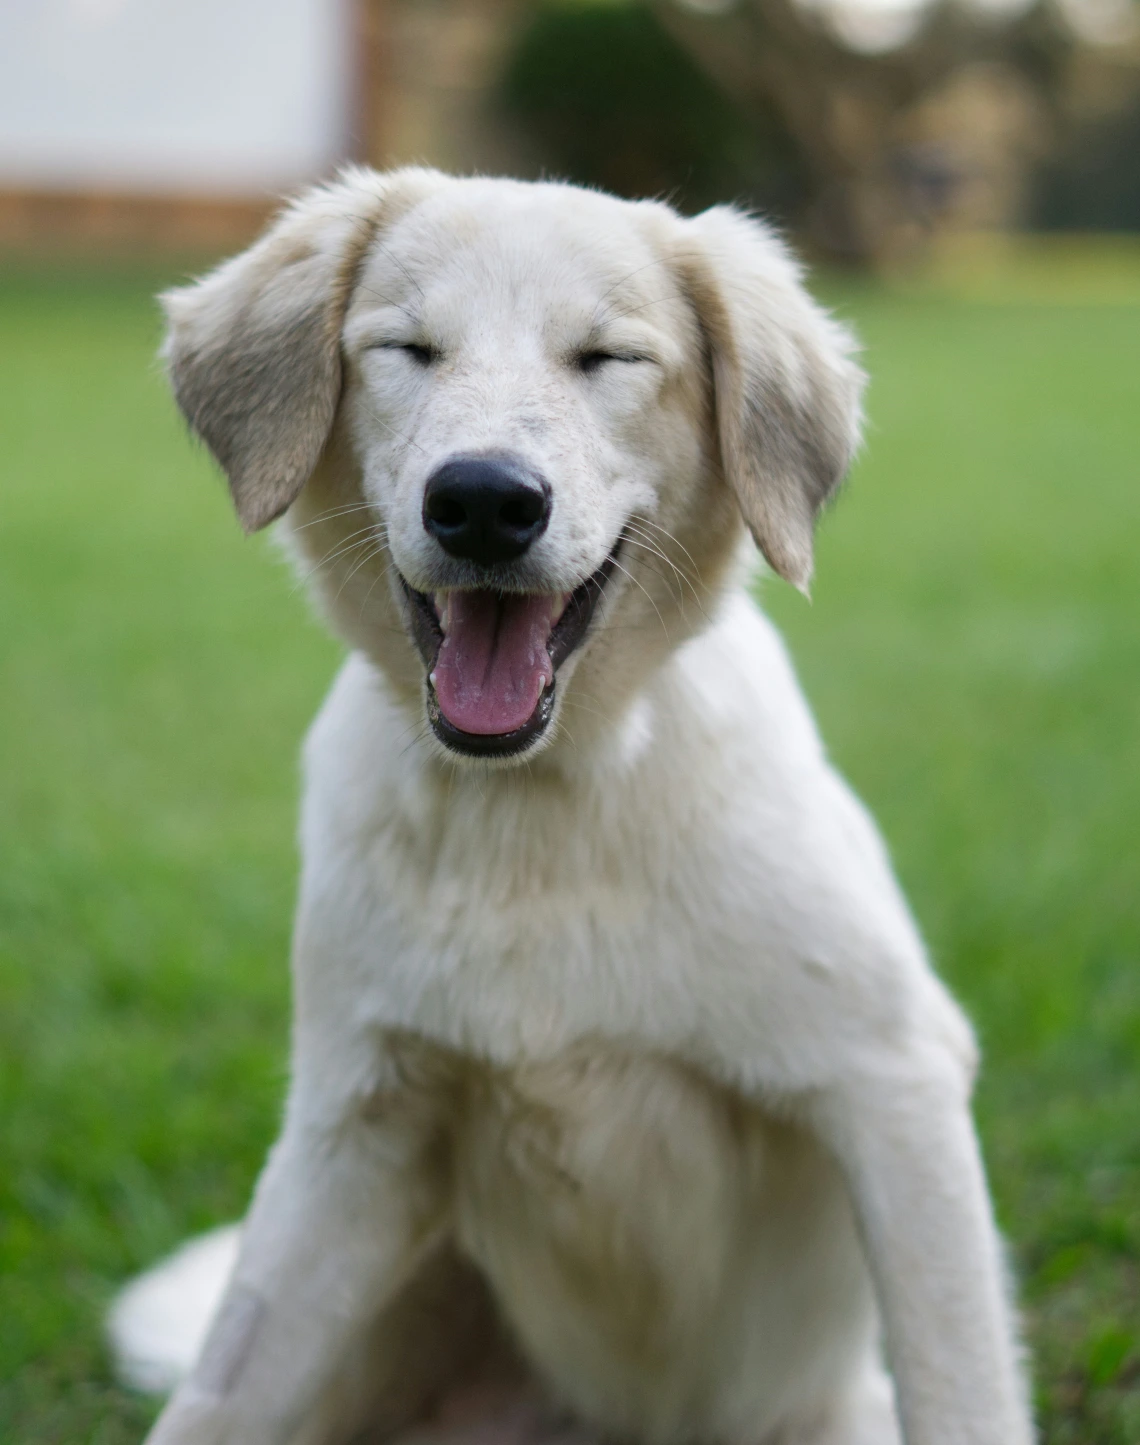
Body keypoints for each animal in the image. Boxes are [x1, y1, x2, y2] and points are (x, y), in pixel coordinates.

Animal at [109, 171, 1034, 1445]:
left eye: (609, 358)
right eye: (408, 348)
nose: (484, 501)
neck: (540, 811)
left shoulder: (892, 1081)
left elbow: (964, 1386)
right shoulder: (353, 1127)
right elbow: (214, 1397)